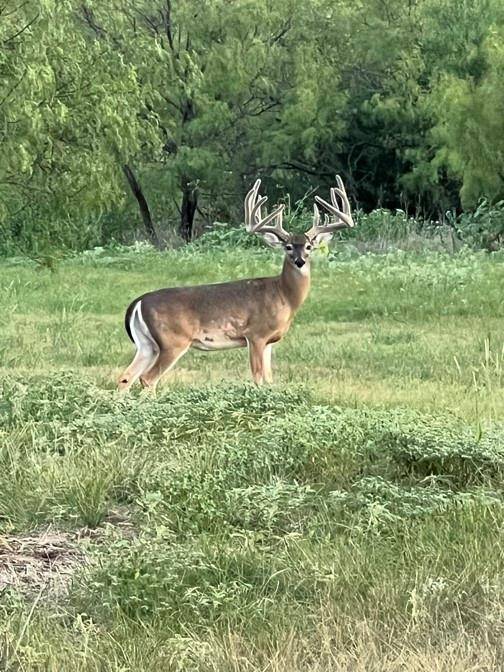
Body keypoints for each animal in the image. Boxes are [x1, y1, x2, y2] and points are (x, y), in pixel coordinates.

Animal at [118, 176, 354, 392]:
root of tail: (137, 303)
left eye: (308, 246)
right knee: (148, 379)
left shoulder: (270, 341)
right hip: (172, 341)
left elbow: (270, 380)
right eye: (287, 247)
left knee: (125, 377)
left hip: (147, 345)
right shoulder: (256, 334)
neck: (283, 296)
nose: (300, 261)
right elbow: (258, 378)